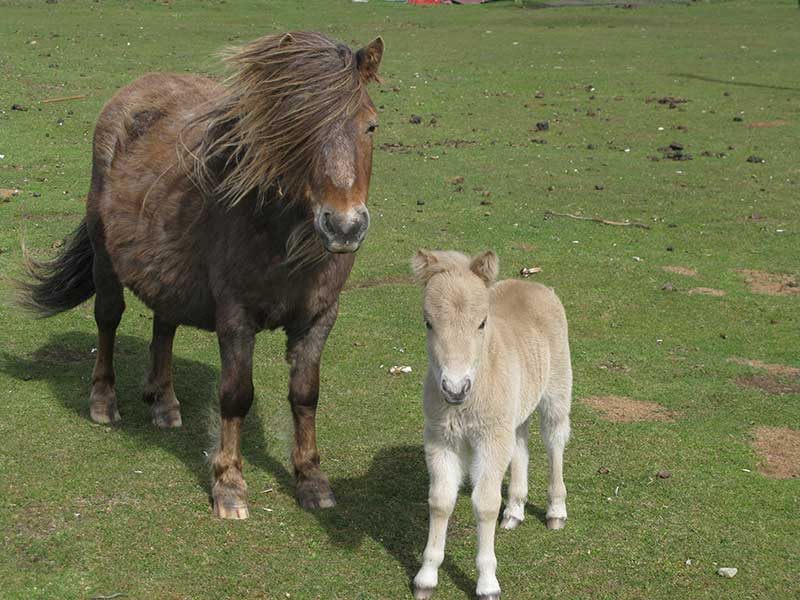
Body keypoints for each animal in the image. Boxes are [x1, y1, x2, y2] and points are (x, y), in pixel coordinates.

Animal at [16, 31, 384, 520]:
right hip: (105, 259)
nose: (344, 227)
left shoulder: (320, 316)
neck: (279, 232)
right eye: (296, 132)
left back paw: (164, 402)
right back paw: (103, 401)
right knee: (108, 318)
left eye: (370, 126)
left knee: (164, 324)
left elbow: (306, 395)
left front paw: (312, 480)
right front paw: (229, 485)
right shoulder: (236, 318)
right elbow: (236, 395)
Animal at [410, 250, 572, 600]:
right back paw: (514, 512)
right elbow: (440, 500)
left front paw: (487, 583)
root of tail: (536, 286)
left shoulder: (490, 439)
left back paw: (555, 511)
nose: (455, 388)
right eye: (428, 322)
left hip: (556, 389)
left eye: (482, 322)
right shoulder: (441, 438)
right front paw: (426, 577)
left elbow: (484, 503)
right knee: (521, 445)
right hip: (514, 411)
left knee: (554, 440)